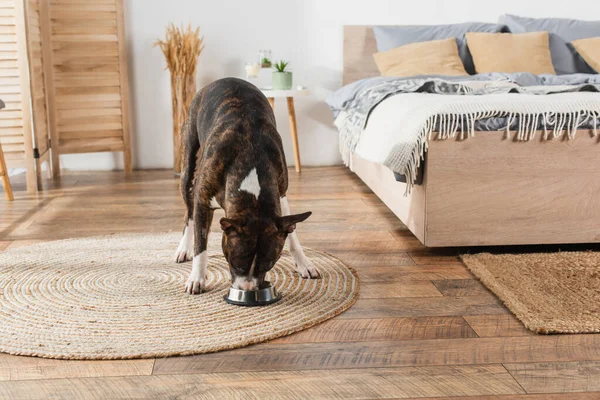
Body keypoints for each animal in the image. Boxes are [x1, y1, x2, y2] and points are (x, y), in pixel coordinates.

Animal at [173, 76, 318, 294]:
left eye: (268, 265)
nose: (248, 289)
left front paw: (303, 263)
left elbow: (292, 234)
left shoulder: (281, 194)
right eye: (235, 262)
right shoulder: (202, 201)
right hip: (188, 165)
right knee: (188, 212)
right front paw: (197, 277)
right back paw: (184, 247)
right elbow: (201, 244)